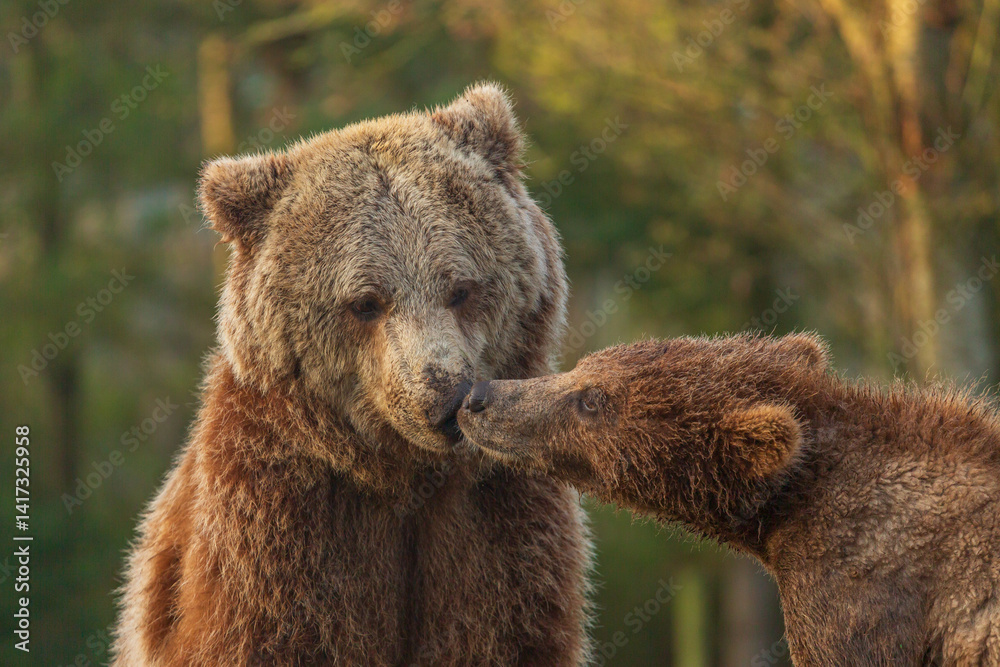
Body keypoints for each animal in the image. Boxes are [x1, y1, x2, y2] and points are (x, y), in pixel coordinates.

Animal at [111, 83, 592, 666]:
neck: (403, 477)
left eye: (461, 288)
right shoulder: (275, 540)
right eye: (366, 302)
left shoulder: (502, 529)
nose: (446, 398)